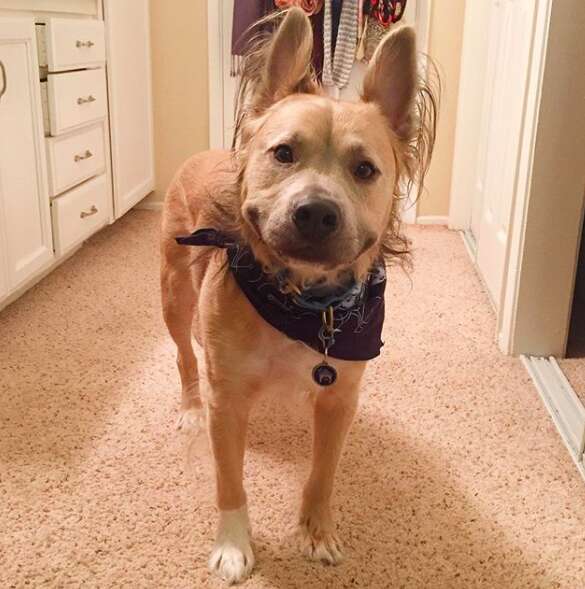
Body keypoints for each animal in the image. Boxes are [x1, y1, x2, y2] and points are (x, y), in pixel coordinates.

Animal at [162, 8, 436, 584]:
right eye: (283, 153)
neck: (304, 303)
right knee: (183, 355)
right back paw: (190, 405)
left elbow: (323, 475)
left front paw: (316, 531)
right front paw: (233, 544)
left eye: (365, 169)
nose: (315, 213)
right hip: (173, 295)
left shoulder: (340, 400)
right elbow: (230, 482)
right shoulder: (228, 404)